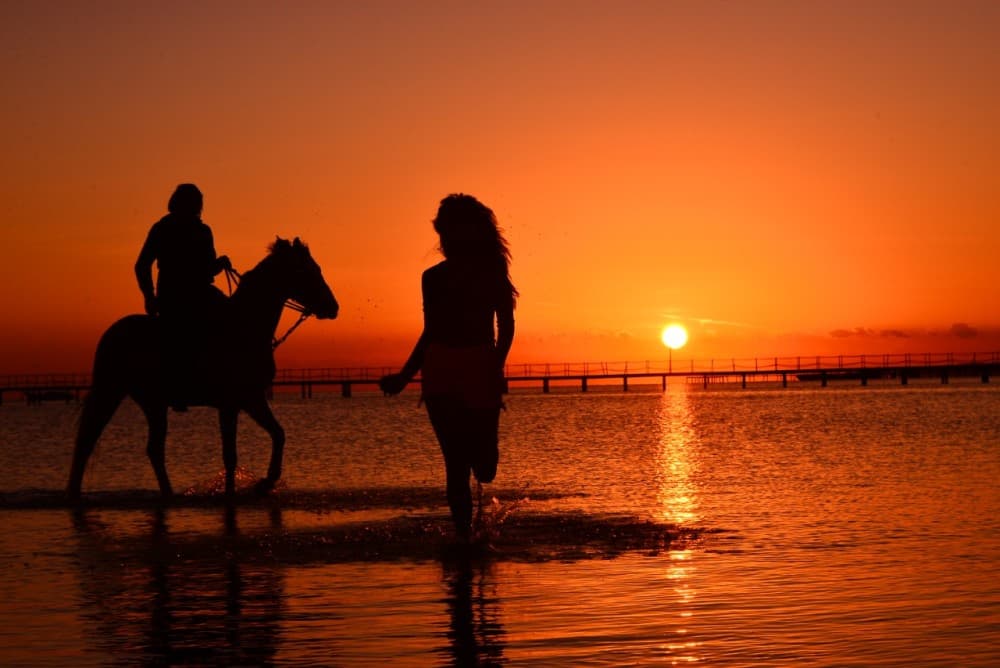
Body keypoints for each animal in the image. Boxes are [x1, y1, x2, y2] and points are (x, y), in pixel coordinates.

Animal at [67, 237, 339, 501]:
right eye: (307, 270)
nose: (333, 307)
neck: (245, 327)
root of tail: (111, 333)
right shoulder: (232, 403)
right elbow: (230, 454)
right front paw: (235, 492)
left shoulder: (252, 399)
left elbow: (278, 434)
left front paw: (266, 483)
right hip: (111, 391)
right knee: (88, 440)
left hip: (153, 402)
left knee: (153, 448)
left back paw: (167, 493)